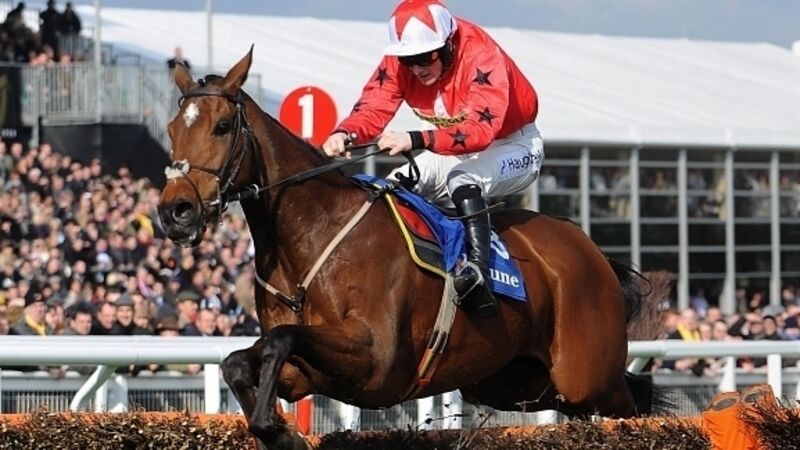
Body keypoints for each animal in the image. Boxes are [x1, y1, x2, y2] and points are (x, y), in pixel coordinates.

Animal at [158, 48, 666, 449]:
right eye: (170, 129)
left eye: (223, 126)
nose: (175, 211)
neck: (312, 235)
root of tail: (594, 254)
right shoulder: (312, 373)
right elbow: (239, 361)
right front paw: (277, 428)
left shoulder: (376, 362)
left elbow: (282, 339)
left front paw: (278, 429)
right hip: (515, 381)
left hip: (586, 376)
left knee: (633, 406)